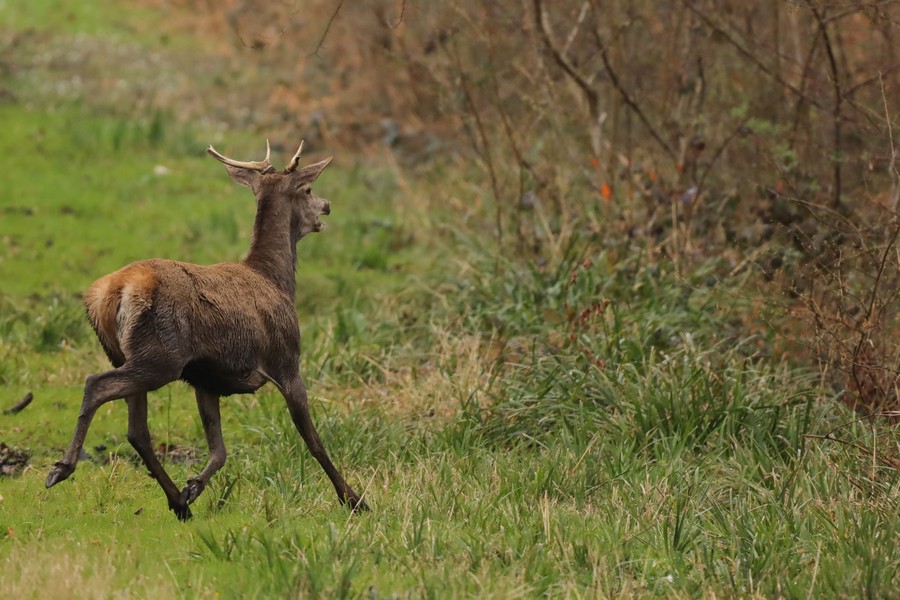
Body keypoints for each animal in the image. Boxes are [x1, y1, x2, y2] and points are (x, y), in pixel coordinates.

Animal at [45, 139, 367, 520]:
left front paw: (194, 486)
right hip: (160, 354)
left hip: (128, 354)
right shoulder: (287, 361)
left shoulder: (206, 378)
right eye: (308, 189)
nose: (327, 205)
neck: (276, 280)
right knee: (97, 385)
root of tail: (114, 291)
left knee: (136, 430)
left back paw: (177, 501)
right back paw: (61, 469)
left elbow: (219, 450)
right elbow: (314, 441)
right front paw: (353, 499)